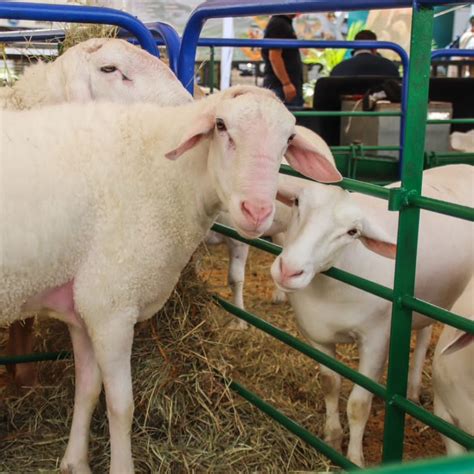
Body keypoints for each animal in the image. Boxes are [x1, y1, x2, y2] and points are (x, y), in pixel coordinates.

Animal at [268, 164, 472, 466]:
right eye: (296, 203)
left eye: (352, 231)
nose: (289, 270)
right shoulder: (317, 337)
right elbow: (330, 384)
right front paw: (332, 437)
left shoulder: (375, 341)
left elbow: (358, 404)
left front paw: (354, 458)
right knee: (423, 330)